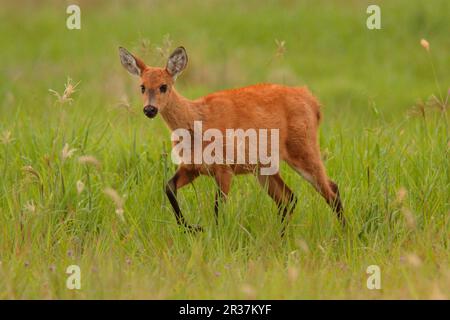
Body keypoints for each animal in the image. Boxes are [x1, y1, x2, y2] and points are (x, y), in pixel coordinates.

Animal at [119, 45, 344, 235]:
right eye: (142, 87)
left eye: (164, 86)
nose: (149, 109)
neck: (197, 122)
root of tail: (313, 102)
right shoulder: (192, 167)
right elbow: (168, 188)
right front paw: (191, 228)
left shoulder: (224, 167)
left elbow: (218, 208)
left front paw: (213, 235)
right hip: (264, 168)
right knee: (289, 198)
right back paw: (281, 237)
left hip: (303, 148)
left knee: (331, 190)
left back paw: (345, 234)